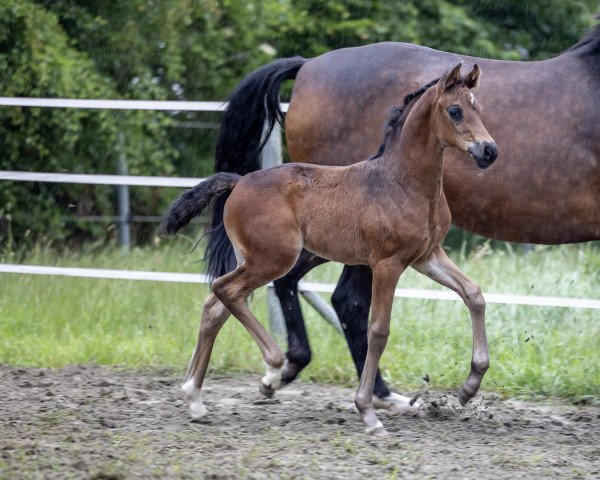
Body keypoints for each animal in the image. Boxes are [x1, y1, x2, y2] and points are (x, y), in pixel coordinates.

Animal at [163, 64, 496, 436]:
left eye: (478, 108)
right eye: (455, 111)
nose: (489, 151)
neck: (403, 182)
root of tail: (238, 181)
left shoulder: (427, 256)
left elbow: (473, 294)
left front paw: (469, 387)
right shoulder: (387, 263)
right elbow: (378, 331)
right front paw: (368, 413)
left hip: (251, 259)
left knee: (215, 306)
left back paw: (195, 398)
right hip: (273, 259)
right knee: (225, 290)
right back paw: (272, 370)